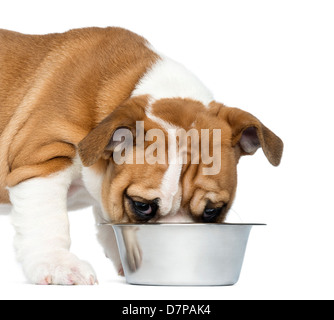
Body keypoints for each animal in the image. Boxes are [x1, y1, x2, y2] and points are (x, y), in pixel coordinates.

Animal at [0, 26, 284, 282]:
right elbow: (48, 220)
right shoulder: (42, 161)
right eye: (142, 206)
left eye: (212, 211)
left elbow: (107, 220)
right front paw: (57, 264)